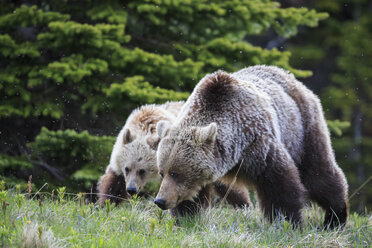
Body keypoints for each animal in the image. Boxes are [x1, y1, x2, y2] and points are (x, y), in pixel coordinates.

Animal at [96, 101, 250, 214]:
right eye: (127, 168)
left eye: (142, 171)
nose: (131, 189)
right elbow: (113, 182)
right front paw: (105, 205)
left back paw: (244, 205)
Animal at [153, 65, 348, 228]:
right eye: (162, 172)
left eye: (175, 173)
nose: (160, 201)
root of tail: (289, 75)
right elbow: (191, 197)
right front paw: (185, 218)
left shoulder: (258, 146)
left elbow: (279, 183)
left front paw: (287, 221)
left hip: (302, 128)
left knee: (317, 173)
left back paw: (335, 217)